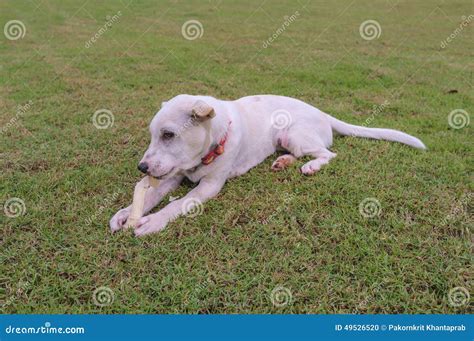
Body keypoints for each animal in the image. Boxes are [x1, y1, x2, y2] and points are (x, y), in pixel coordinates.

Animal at [111, 94, 426, 235]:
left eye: (168, 134)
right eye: (154, 134)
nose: (141, 168)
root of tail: (323, 113)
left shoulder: (210, 186)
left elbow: (179, 203)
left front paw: (154, 221)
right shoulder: (174, 175)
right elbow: (151, 195)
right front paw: (126, 213)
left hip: (293, 133)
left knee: (327, 154)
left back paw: (310, 167)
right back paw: (283, 161)